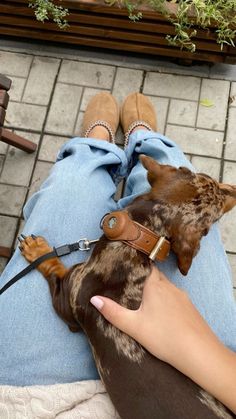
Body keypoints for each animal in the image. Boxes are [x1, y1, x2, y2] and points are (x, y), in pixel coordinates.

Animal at [19, 157, 235, 419]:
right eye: (208, 179)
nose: (235, 190)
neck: (132, 243)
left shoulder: (67, 303)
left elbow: (53, 268)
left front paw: (38, 250)